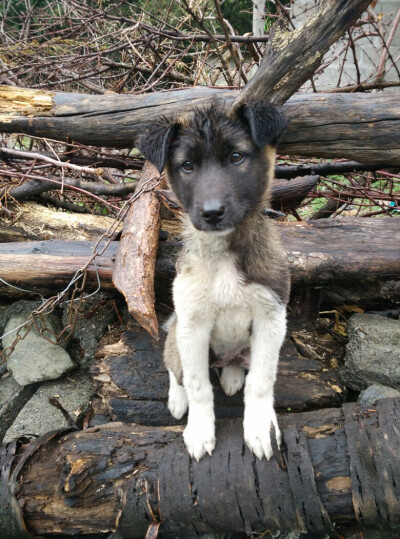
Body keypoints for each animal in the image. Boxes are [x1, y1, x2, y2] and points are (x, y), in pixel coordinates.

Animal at [136, 100, 290, 460]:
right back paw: (177, 399)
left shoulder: (272, 316)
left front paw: (261, 428)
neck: (223, 252)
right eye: (187, 166)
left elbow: (261, 380)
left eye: (236, 157)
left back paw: (232, 374)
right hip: (178, 334)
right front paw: (199, 431)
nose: (212, 213)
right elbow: (197, 386)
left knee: (238, 364)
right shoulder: (192, 323)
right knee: (174, 367)